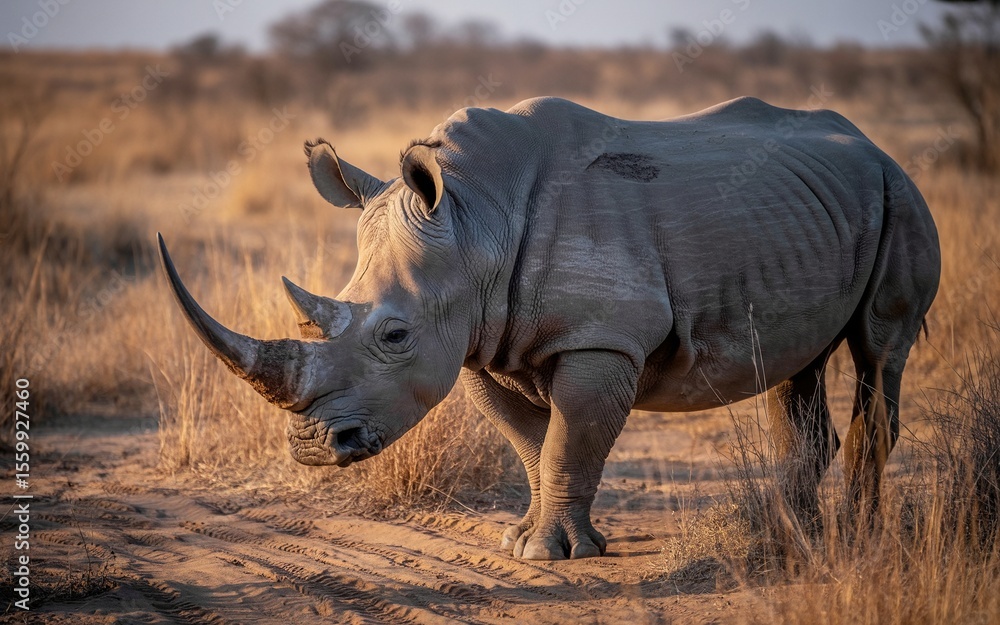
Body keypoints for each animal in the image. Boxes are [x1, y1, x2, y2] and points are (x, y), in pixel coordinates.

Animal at [158, 96, 940, 560]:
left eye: (395, 337)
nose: (314, 450)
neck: (474, 218)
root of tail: (874, 143)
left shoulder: (600, 338)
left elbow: (573, 437)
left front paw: (551, 552)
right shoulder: (480, 343)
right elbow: (535, 444)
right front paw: (528, 541)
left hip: (901, 194)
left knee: (878, 351)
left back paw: (860, 539)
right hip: (814, 213)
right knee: (796, 365)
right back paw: (794, 534)